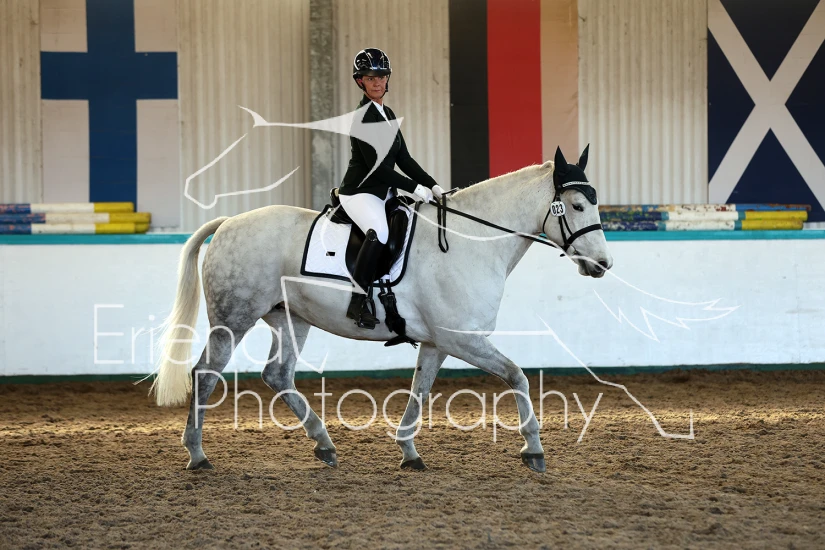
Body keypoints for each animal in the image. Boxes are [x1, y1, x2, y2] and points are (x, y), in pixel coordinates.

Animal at [151, 146, 613, 473]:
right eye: (576, 206)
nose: (604, 264)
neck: (469, 240)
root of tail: (228, 223)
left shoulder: (437, 342)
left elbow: (420, 389)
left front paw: (408, 451)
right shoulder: (462, 339)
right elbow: (517, 376)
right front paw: (533, 449)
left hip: (290, 317)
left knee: (277, 374)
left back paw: (324, 444)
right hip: (234, 318)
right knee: (205, 373)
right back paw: (197, 455)